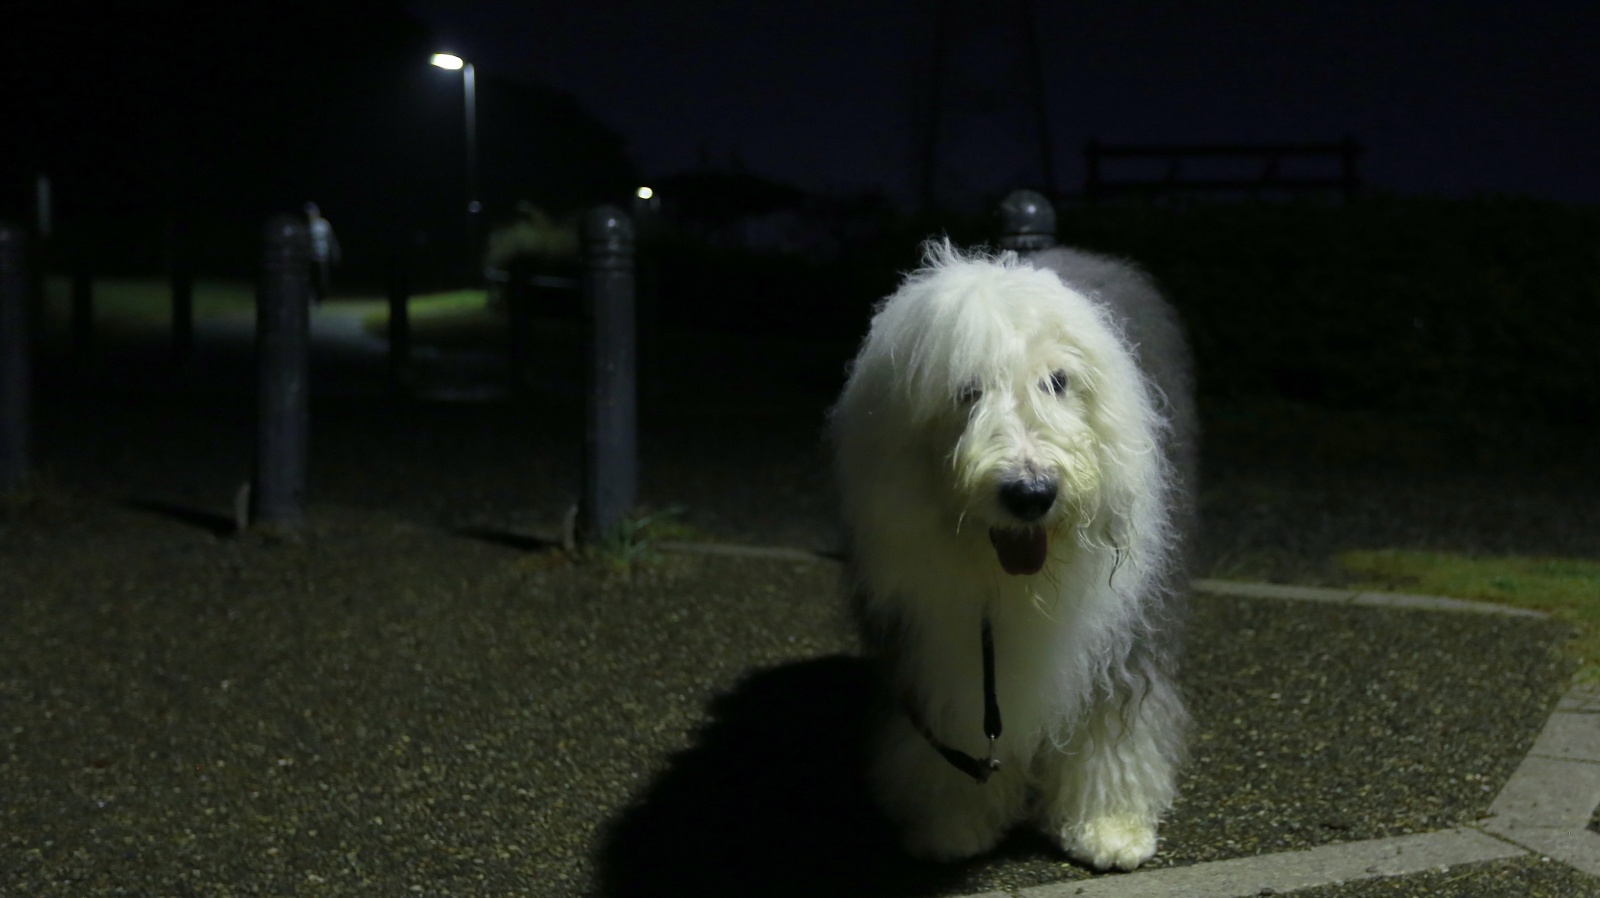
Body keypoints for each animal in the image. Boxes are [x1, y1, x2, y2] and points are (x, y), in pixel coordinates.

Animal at [829, 240, 1196, 871]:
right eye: (966, 390)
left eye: (1058, 381)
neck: (1021, 582)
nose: (1031, 493)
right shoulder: (931, 645)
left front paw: (1109, 828)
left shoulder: (1125, 634)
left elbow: (1112, 728)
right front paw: (952, 824)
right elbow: (953, 726)